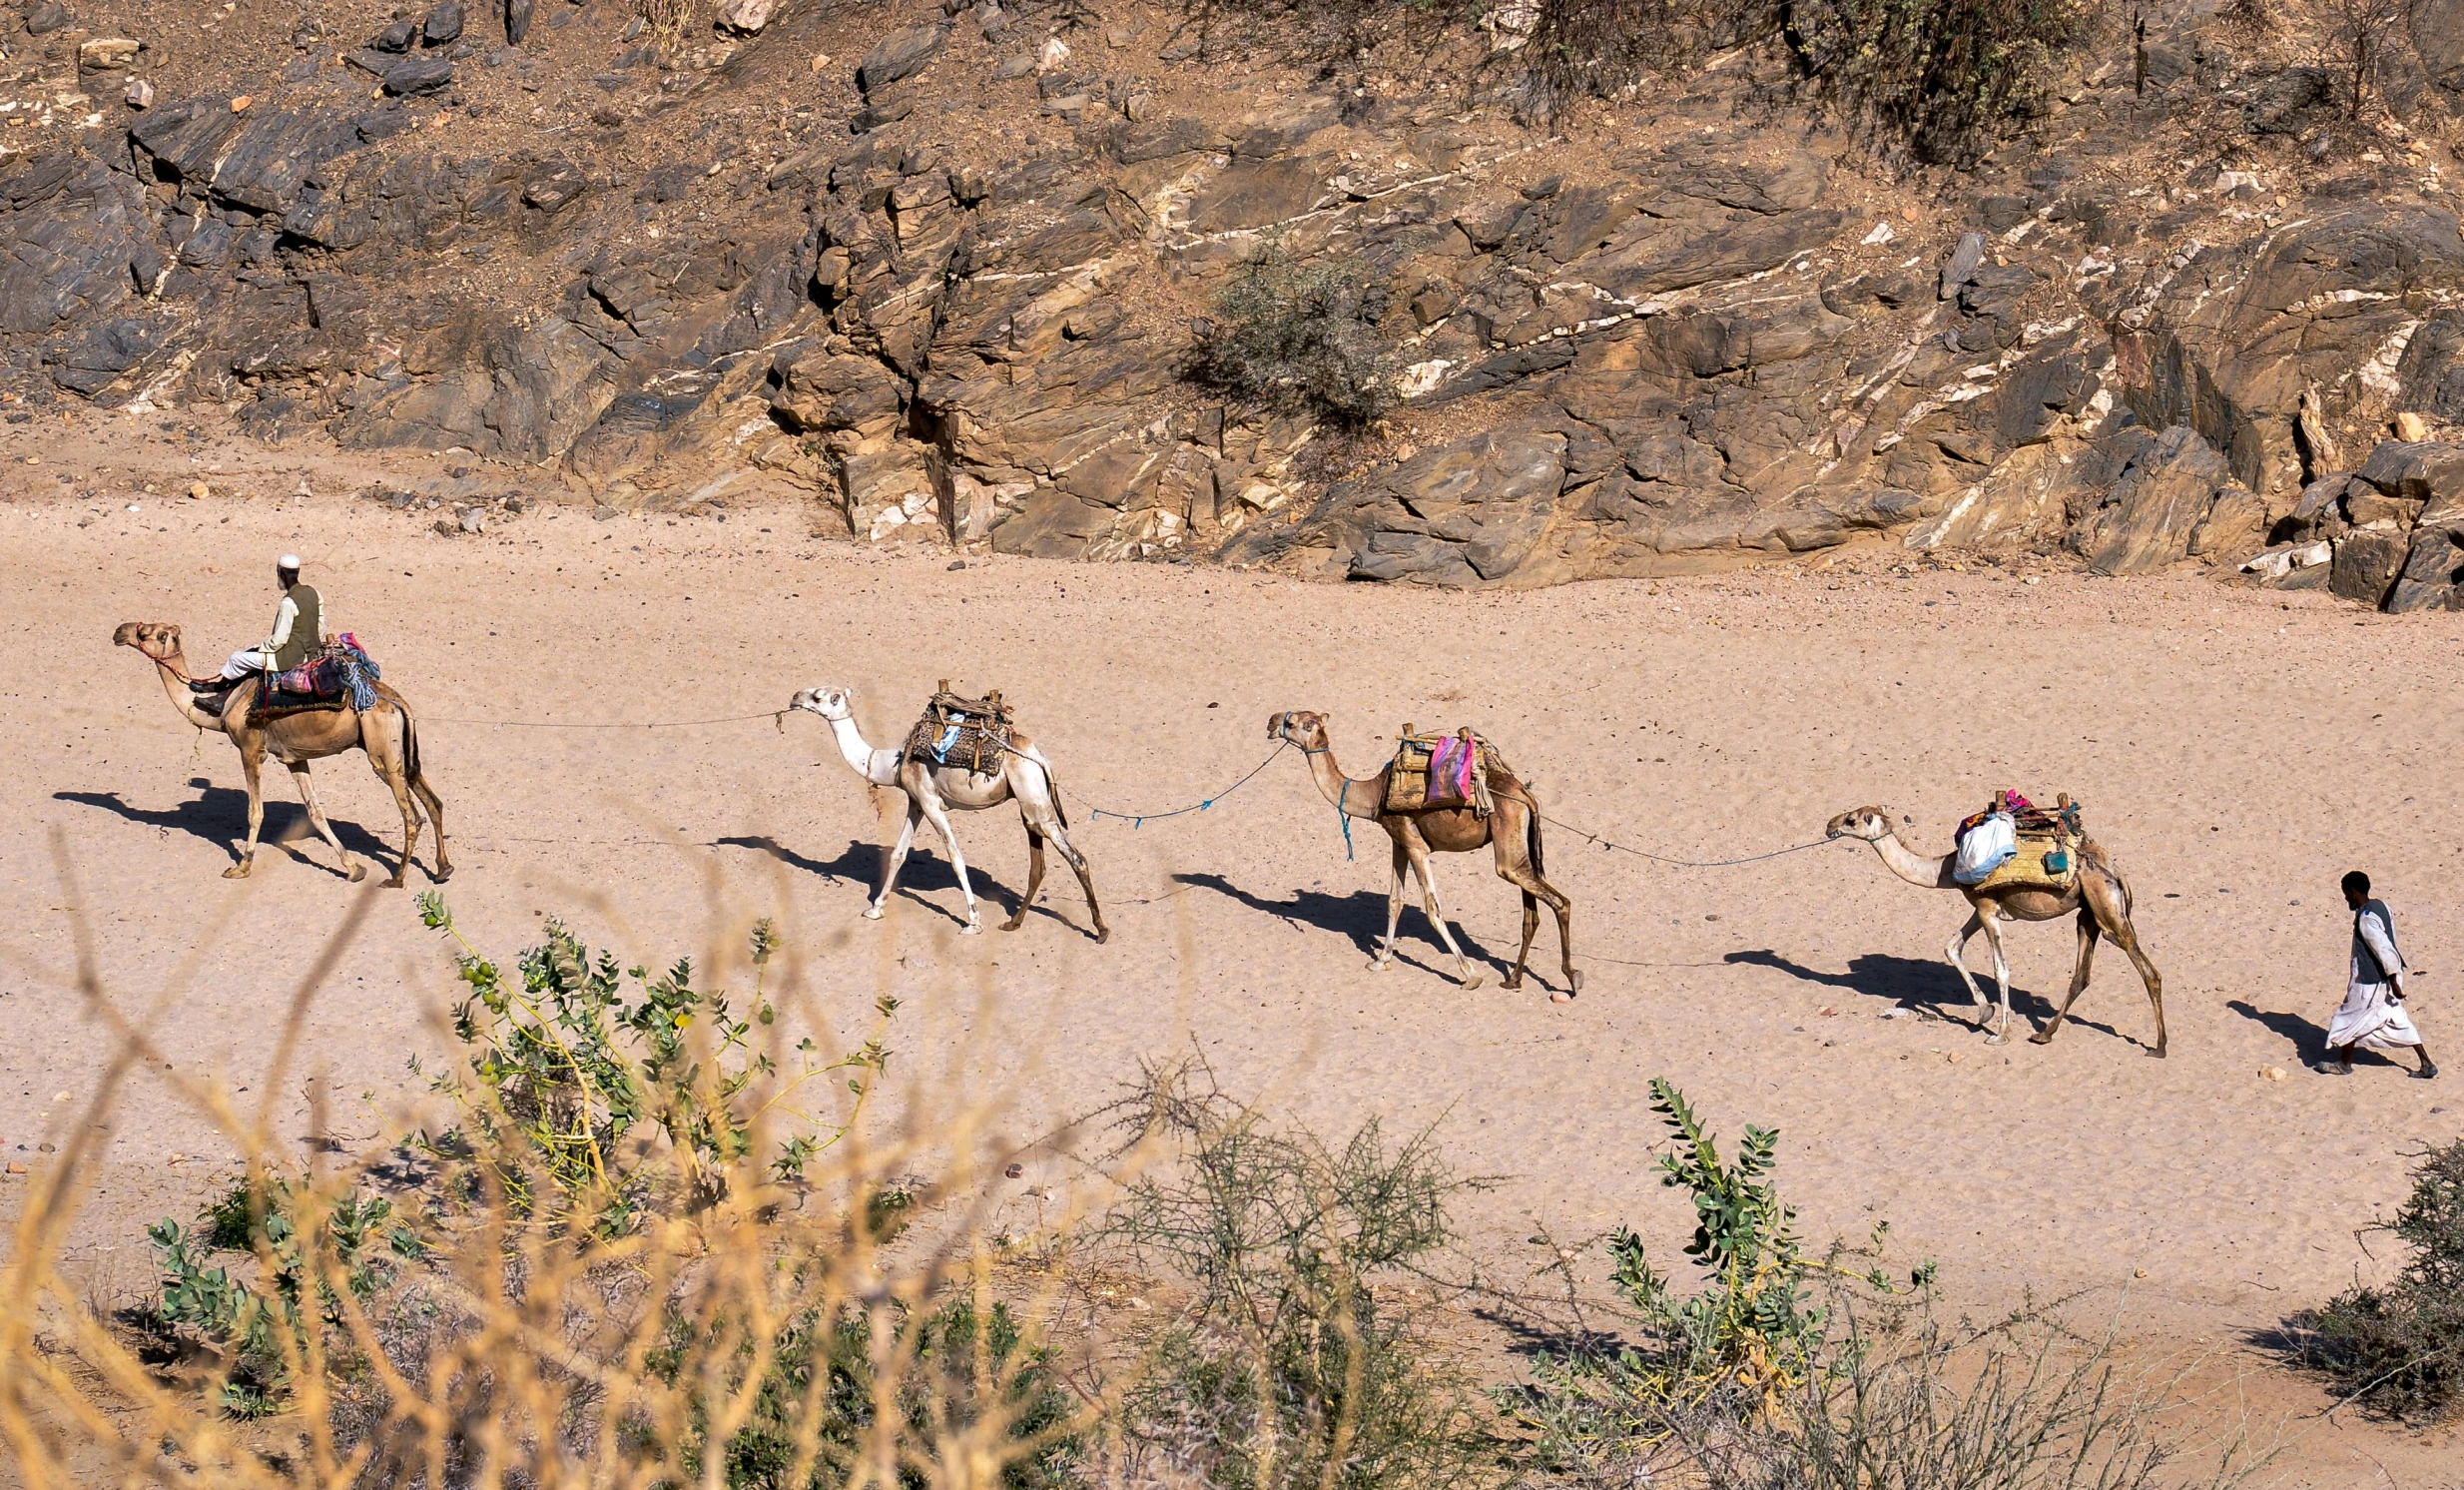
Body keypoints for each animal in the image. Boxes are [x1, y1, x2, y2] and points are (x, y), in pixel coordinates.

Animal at [113, 617, 450, 881]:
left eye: (147, 633)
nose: (119, 630)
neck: (224, 705)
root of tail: (396, 701)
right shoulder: (294, 757)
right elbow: (315, 812)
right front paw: (354, 868)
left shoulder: (250, 749)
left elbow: (255, 811)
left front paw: (241, 867)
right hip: (403, 752)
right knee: (433, 802)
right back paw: (442, 869)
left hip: (382, 753)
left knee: (411, 815)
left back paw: (398, 878)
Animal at [788, 684, 1108, 941]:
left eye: (818, 696)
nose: (794, 697)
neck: (890, 763)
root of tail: (1038, 755)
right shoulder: (916, 802)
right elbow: (898, 854)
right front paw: (876, 909)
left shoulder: (931, 804)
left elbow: (956, 860)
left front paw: (973, 923)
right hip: (1027, 803)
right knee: (1038, 865)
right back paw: (1013, 923)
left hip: (1035, 801)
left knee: (1076, 858)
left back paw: (1101, 930)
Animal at [1271, 709, 1576, 1000]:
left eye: (1298, 722)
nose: (1272, 722)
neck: (1374, 795)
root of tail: (1525, 794)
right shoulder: (1399, 842)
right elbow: (1395, 901)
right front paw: (1380, 960)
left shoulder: (1417, 847)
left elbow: (1432, 908)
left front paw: (1470, 975)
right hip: (1519, 845)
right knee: (1531, 910)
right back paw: (1514, 979)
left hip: (1508, 841)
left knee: (1556, 900)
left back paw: (1571, 977)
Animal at [1823, 802, 2167, 1059]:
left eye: (1852, 819)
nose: (1829, 824)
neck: (1945, 869)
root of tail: (2114, 869)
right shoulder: (1980, 906)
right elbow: (1952, 947)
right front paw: (1984, 1011)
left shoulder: (1987, 910)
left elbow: (2001, 970)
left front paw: (2000, 1034)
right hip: (2088, 914)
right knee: (2082, 974)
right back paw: (2044, 1034)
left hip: (2107, 908)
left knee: (2147, 970)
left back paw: (2159, 1047)